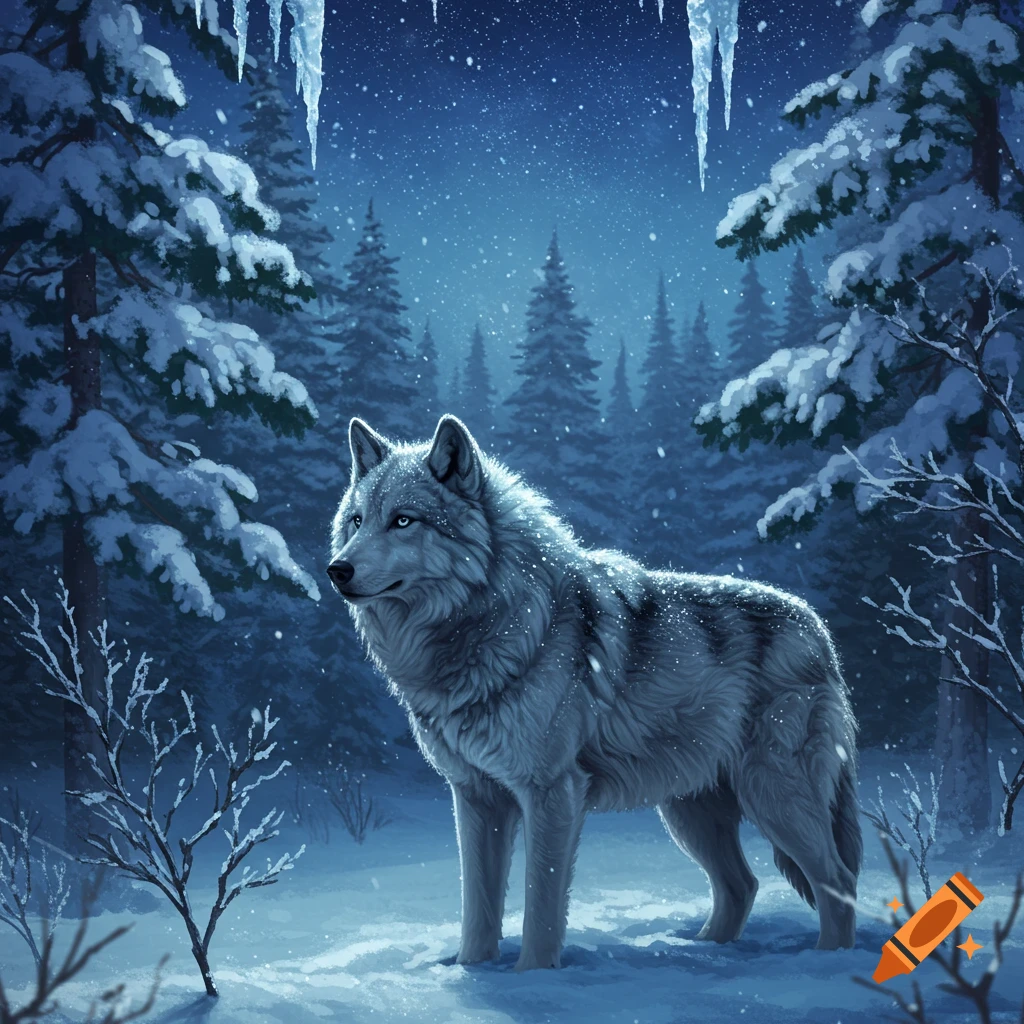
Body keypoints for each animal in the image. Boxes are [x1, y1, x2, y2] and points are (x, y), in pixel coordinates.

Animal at [328, 415, 862, 972]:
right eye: (357, 521)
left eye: (403, 521)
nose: (336, 569)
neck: (492, 622)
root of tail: (817, 627)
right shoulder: (476, 797)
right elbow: (478, 907)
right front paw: (472, 972)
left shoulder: (552, 793)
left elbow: (541, 906)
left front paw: (533, 978)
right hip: (690, 811)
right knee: (743, 883)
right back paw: (701, 951)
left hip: (771, 795)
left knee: (838, 881)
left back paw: (828, 963)